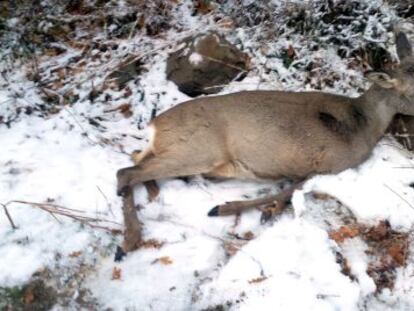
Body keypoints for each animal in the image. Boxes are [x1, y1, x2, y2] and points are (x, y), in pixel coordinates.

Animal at [116, 31, 414, 254]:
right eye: (413, 90)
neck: (362, 123)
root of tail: (155, 125)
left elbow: (289, 190)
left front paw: (264, 209)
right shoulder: (330, 163)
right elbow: (289, 190)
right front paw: (230, 208)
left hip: (174, 149)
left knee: (133, 159)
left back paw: (150, 196)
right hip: (197, 149)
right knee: (125, 172)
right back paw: (129, 240)